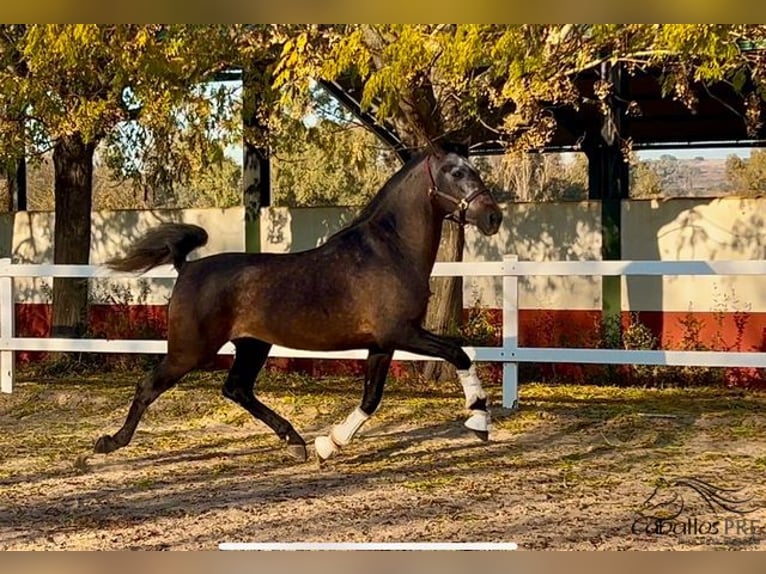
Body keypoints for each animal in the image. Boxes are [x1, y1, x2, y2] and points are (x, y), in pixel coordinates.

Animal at [96, 144, 504, 464]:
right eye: (456, 171)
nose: (493, 216)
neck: (389, 251)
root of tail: (187, 267)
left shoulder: (382, 343)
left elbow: (371, 397)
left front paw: (328, 445)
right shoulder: (402, 333)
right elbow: (458, 353)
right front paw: (478, 419)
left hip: (253, 346)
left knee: (236, 388)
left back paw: (295, 442)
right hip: (190, 350)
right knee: (149, 386)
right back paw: (109, 443)